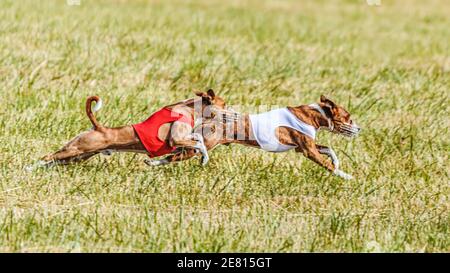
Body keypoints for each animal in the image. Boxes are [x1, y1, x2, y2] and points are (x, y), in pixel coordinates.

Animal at [28, 88, 227, 168]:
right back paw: (29, 169)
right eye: (224, 104)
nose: (230, 110)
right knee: (47, 157)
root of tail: (99, 127)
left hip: (77, 157)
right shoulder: (175, 139)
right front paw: (204, 157)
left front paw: (203, 157)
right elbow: (199, 143)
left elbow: (198, 140)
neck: (190, 108)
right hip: (76, 149)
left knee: (52, 162)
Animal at [146, 95, 360, 178]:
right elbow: (327, 165)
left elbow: (329, 150)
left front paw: (337, 162)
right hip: (200, 146)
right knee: (174, 155)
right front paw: (345, 176)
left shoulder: (303, 148)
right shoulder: (309, 151)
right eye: (348, 118)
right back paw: (152, 163)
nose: (359, 128)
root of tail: (210, 119)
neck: (312, 115)